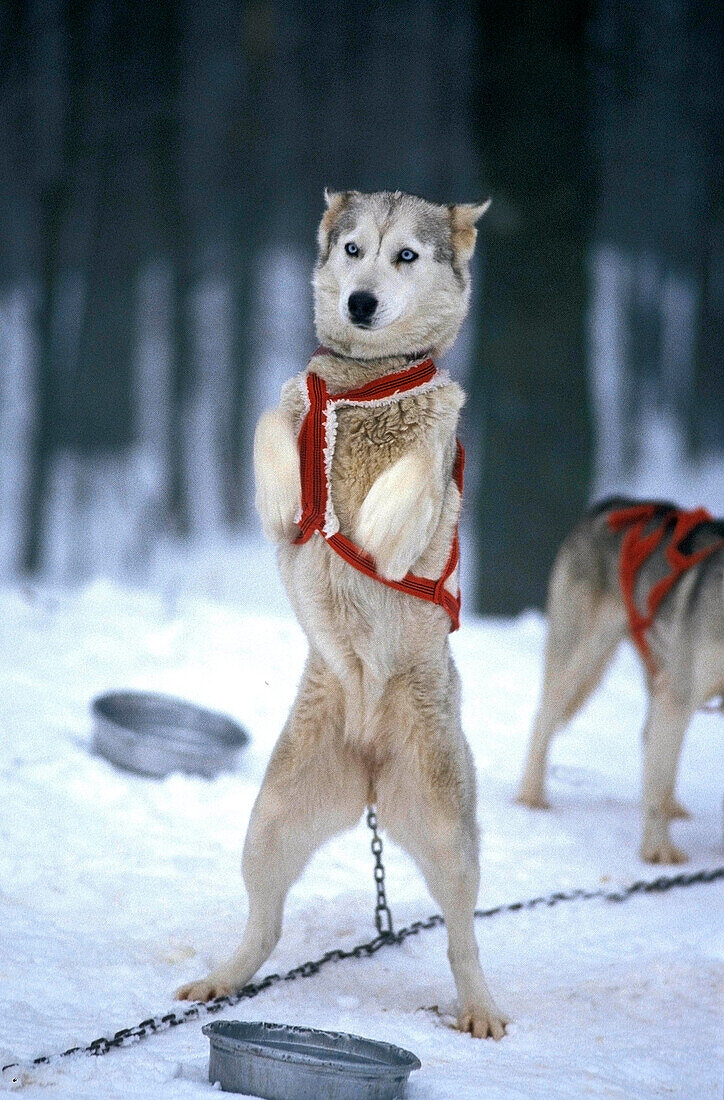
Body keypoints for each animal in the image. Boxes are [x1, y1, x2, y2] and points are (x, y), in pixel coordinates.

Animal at [173, 191, 503, 1038]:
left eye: (405, 256)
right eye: (354, 249)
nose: (360, 302)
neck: (364, 384)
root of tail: (371, 766)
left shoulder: (433, 476)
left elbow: (417, 472)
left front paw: (378, 521)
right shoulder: (296, 403)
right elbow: (271, 418)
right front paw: (290, 490)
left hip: (448, 833)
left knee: (462, 936)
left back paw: (480, 1008)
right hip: (271, 820)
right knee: (265, 923)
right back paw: (220, 980)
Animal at [514, 499, 717, 866]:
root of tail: (607, 504)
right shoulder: (678, 694)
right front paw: (658, 850)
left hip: (655, 672)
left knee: (653, 744)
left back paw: (673, 806)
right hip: (585, 655)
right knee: (544, 717)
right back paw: (531, 795)